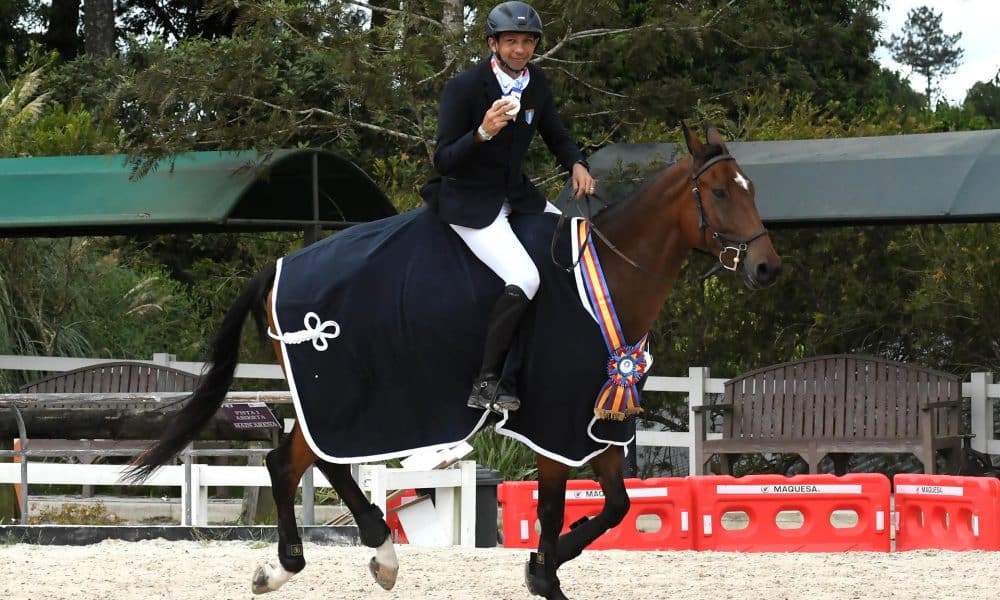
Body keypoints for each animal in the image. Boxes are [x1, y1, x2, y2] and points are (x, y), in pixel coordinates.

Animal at [125, 123, 781, 600]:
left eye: (752, 189)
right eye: (720, 192)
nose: (767, 268)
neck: (604, 283)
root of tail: (279, 267)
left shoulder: (597, 421)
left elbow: (616, 506)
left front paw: (545, 564)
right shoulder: (554, 422)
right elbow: (551, 508)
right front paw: (544, 573)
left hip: (341, 406)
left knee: (309, 462)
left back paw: (364, 554)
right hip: (342, 396)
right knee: (287, 463)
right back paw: (302, 564)